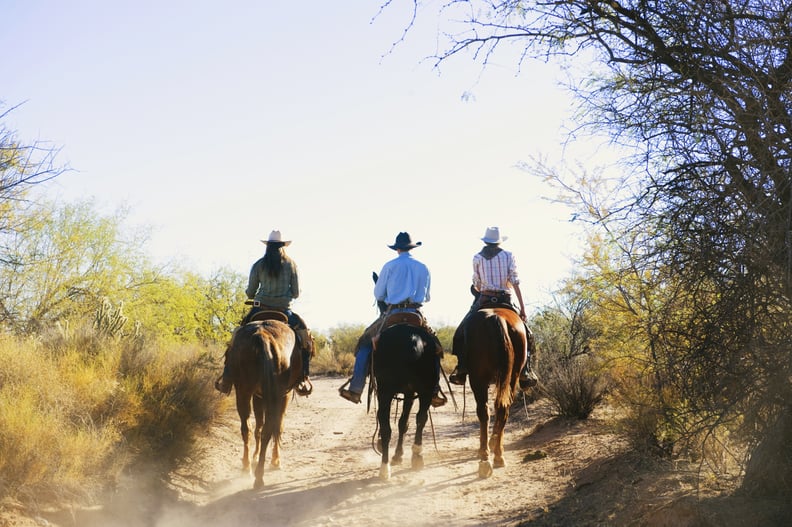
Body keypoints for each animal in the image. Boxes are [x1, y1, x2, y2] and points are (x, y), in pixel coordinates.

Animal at [223, 316, 304, 488]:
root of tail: (262, 336)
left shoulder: (259, 396)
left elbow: (259, 427)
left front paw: (256, 457)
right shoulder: (283, 395)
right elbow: (278, 427)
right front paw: (275, 461)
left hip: (243, 391)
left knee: (247, 428)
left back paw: (249, 470)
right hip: (273, 394)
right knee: (268, 428)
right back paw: (257, 474)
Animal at [452, 310, 524, 478]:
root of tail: (496, 317)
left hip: (478, 379)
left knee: (485, 411)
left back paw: (486, 457)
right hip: (511, 377)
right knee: (502, 409)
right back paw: (497, 456)